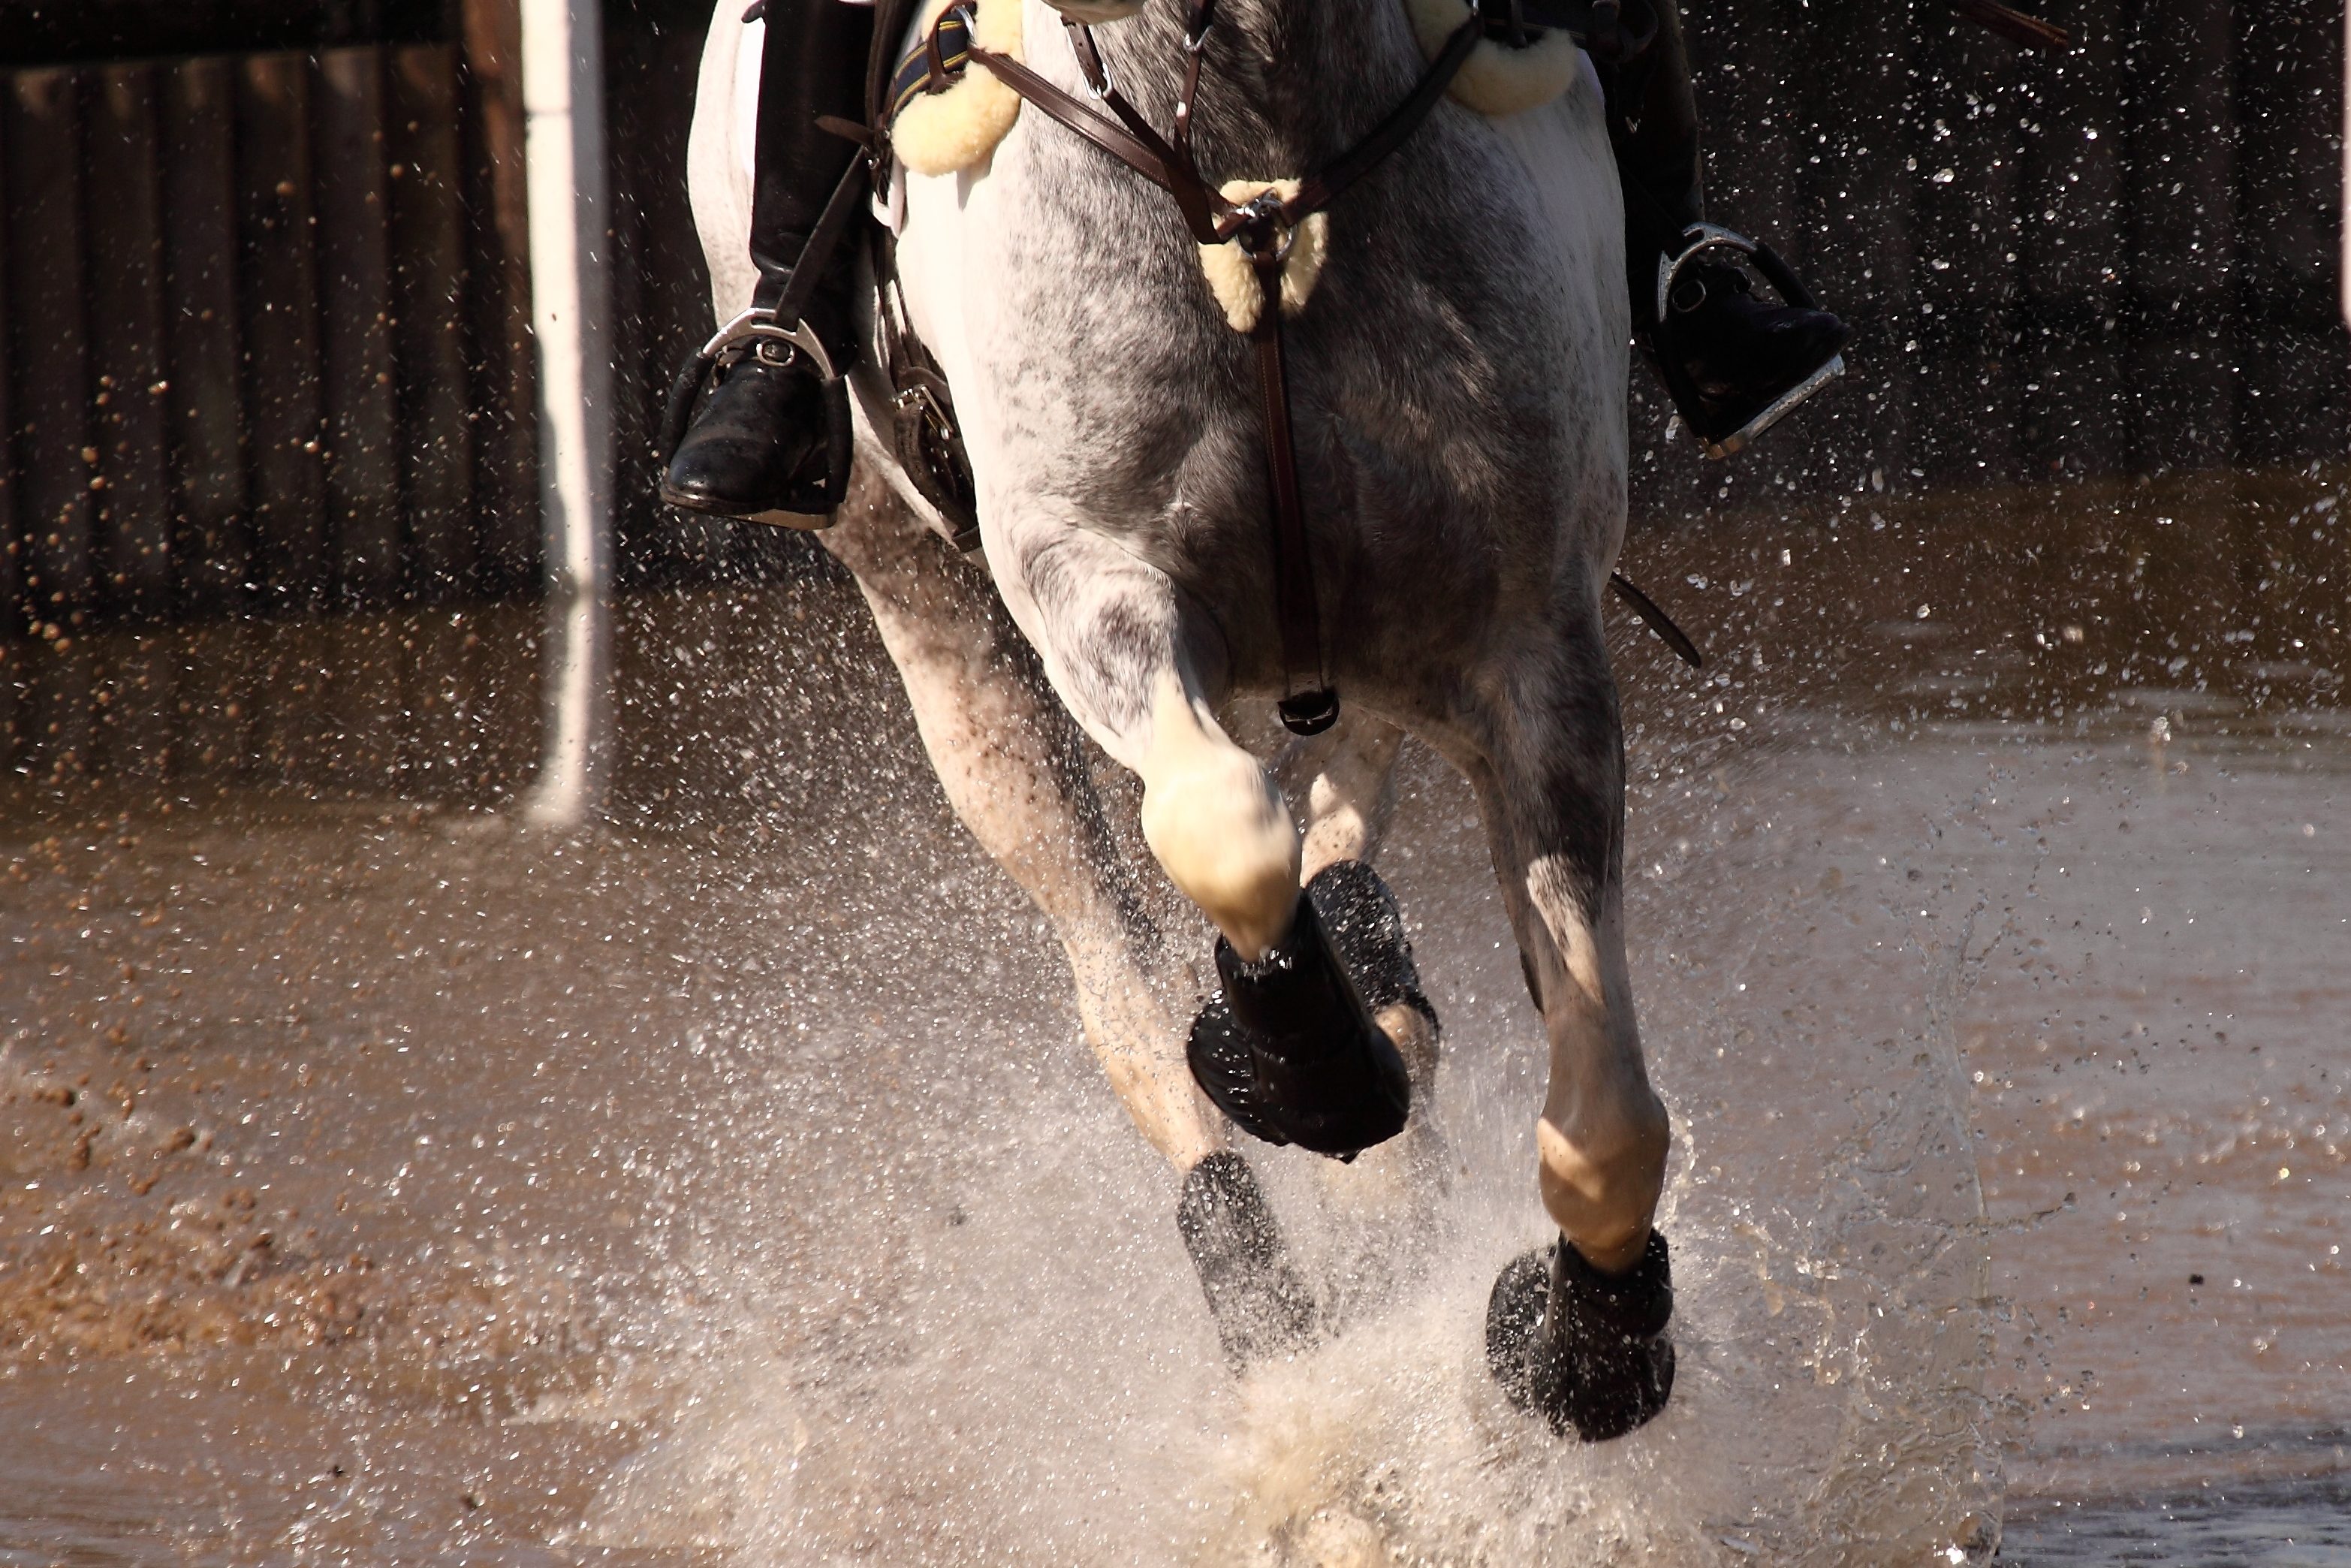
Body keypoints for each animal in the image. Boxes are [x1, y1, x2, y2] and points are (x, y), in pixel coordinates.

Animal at [685, 0, 1677, 1438]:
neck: (1255, 134)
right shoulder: (1091, 583)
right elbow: (1222, 832)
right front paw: (1310, 1070)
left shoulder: (1530, 651)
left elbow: (1607, 1121)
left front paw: (1584, 1346)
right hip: (930, 614)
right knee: (1127, 992)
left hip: (1368, 658)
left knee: (1340, 842)